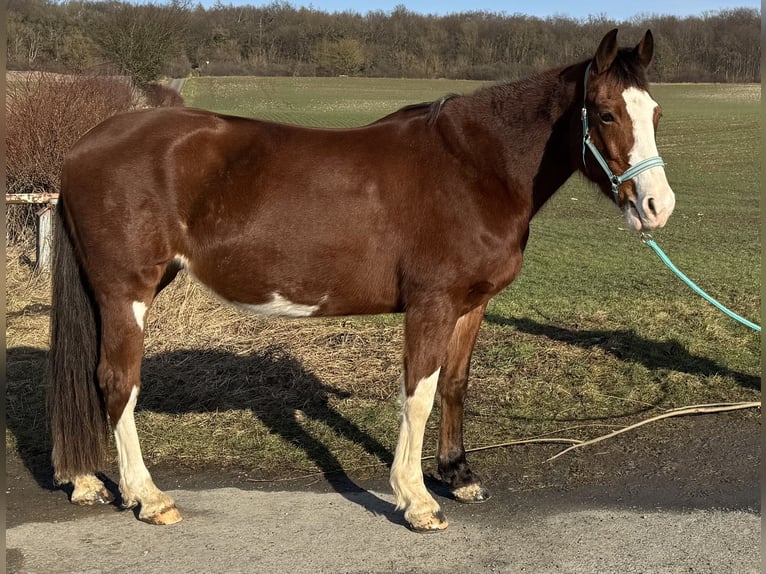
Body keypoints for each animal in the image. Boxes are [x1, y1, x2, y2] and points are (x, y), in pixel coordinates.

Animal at [47, 28, 675, 532]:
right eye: (607, 113)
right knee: (117, 381)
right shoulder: (431, 304)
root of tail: (80, 146)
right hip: (126, 291)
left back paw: (85, 481)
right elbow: (418, 395)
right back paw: (148, 497)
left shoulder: (470, 305)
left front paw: (458, 475)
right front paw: (417, 500)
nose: (657, 206)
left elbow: (454, 385)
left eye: (656, 114)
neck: (473, 168)